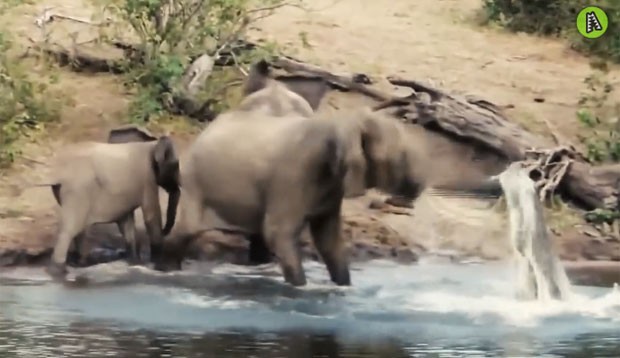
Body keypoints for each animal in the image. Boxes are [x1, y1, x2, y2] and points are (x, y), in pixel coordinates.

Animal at [41, 126, 179, 280]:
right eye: (175, 166)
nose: (166, 231)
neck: (152, 145)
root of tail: (59, 174)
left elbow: (126, 222)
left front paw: (134, 263)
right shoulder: (147, 178)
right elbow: (151, 215)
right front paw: (158, 267)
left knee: (79, 228)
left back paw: (79, 264)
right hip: (78, 189)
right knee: (71, 228)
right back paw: (58, 272)